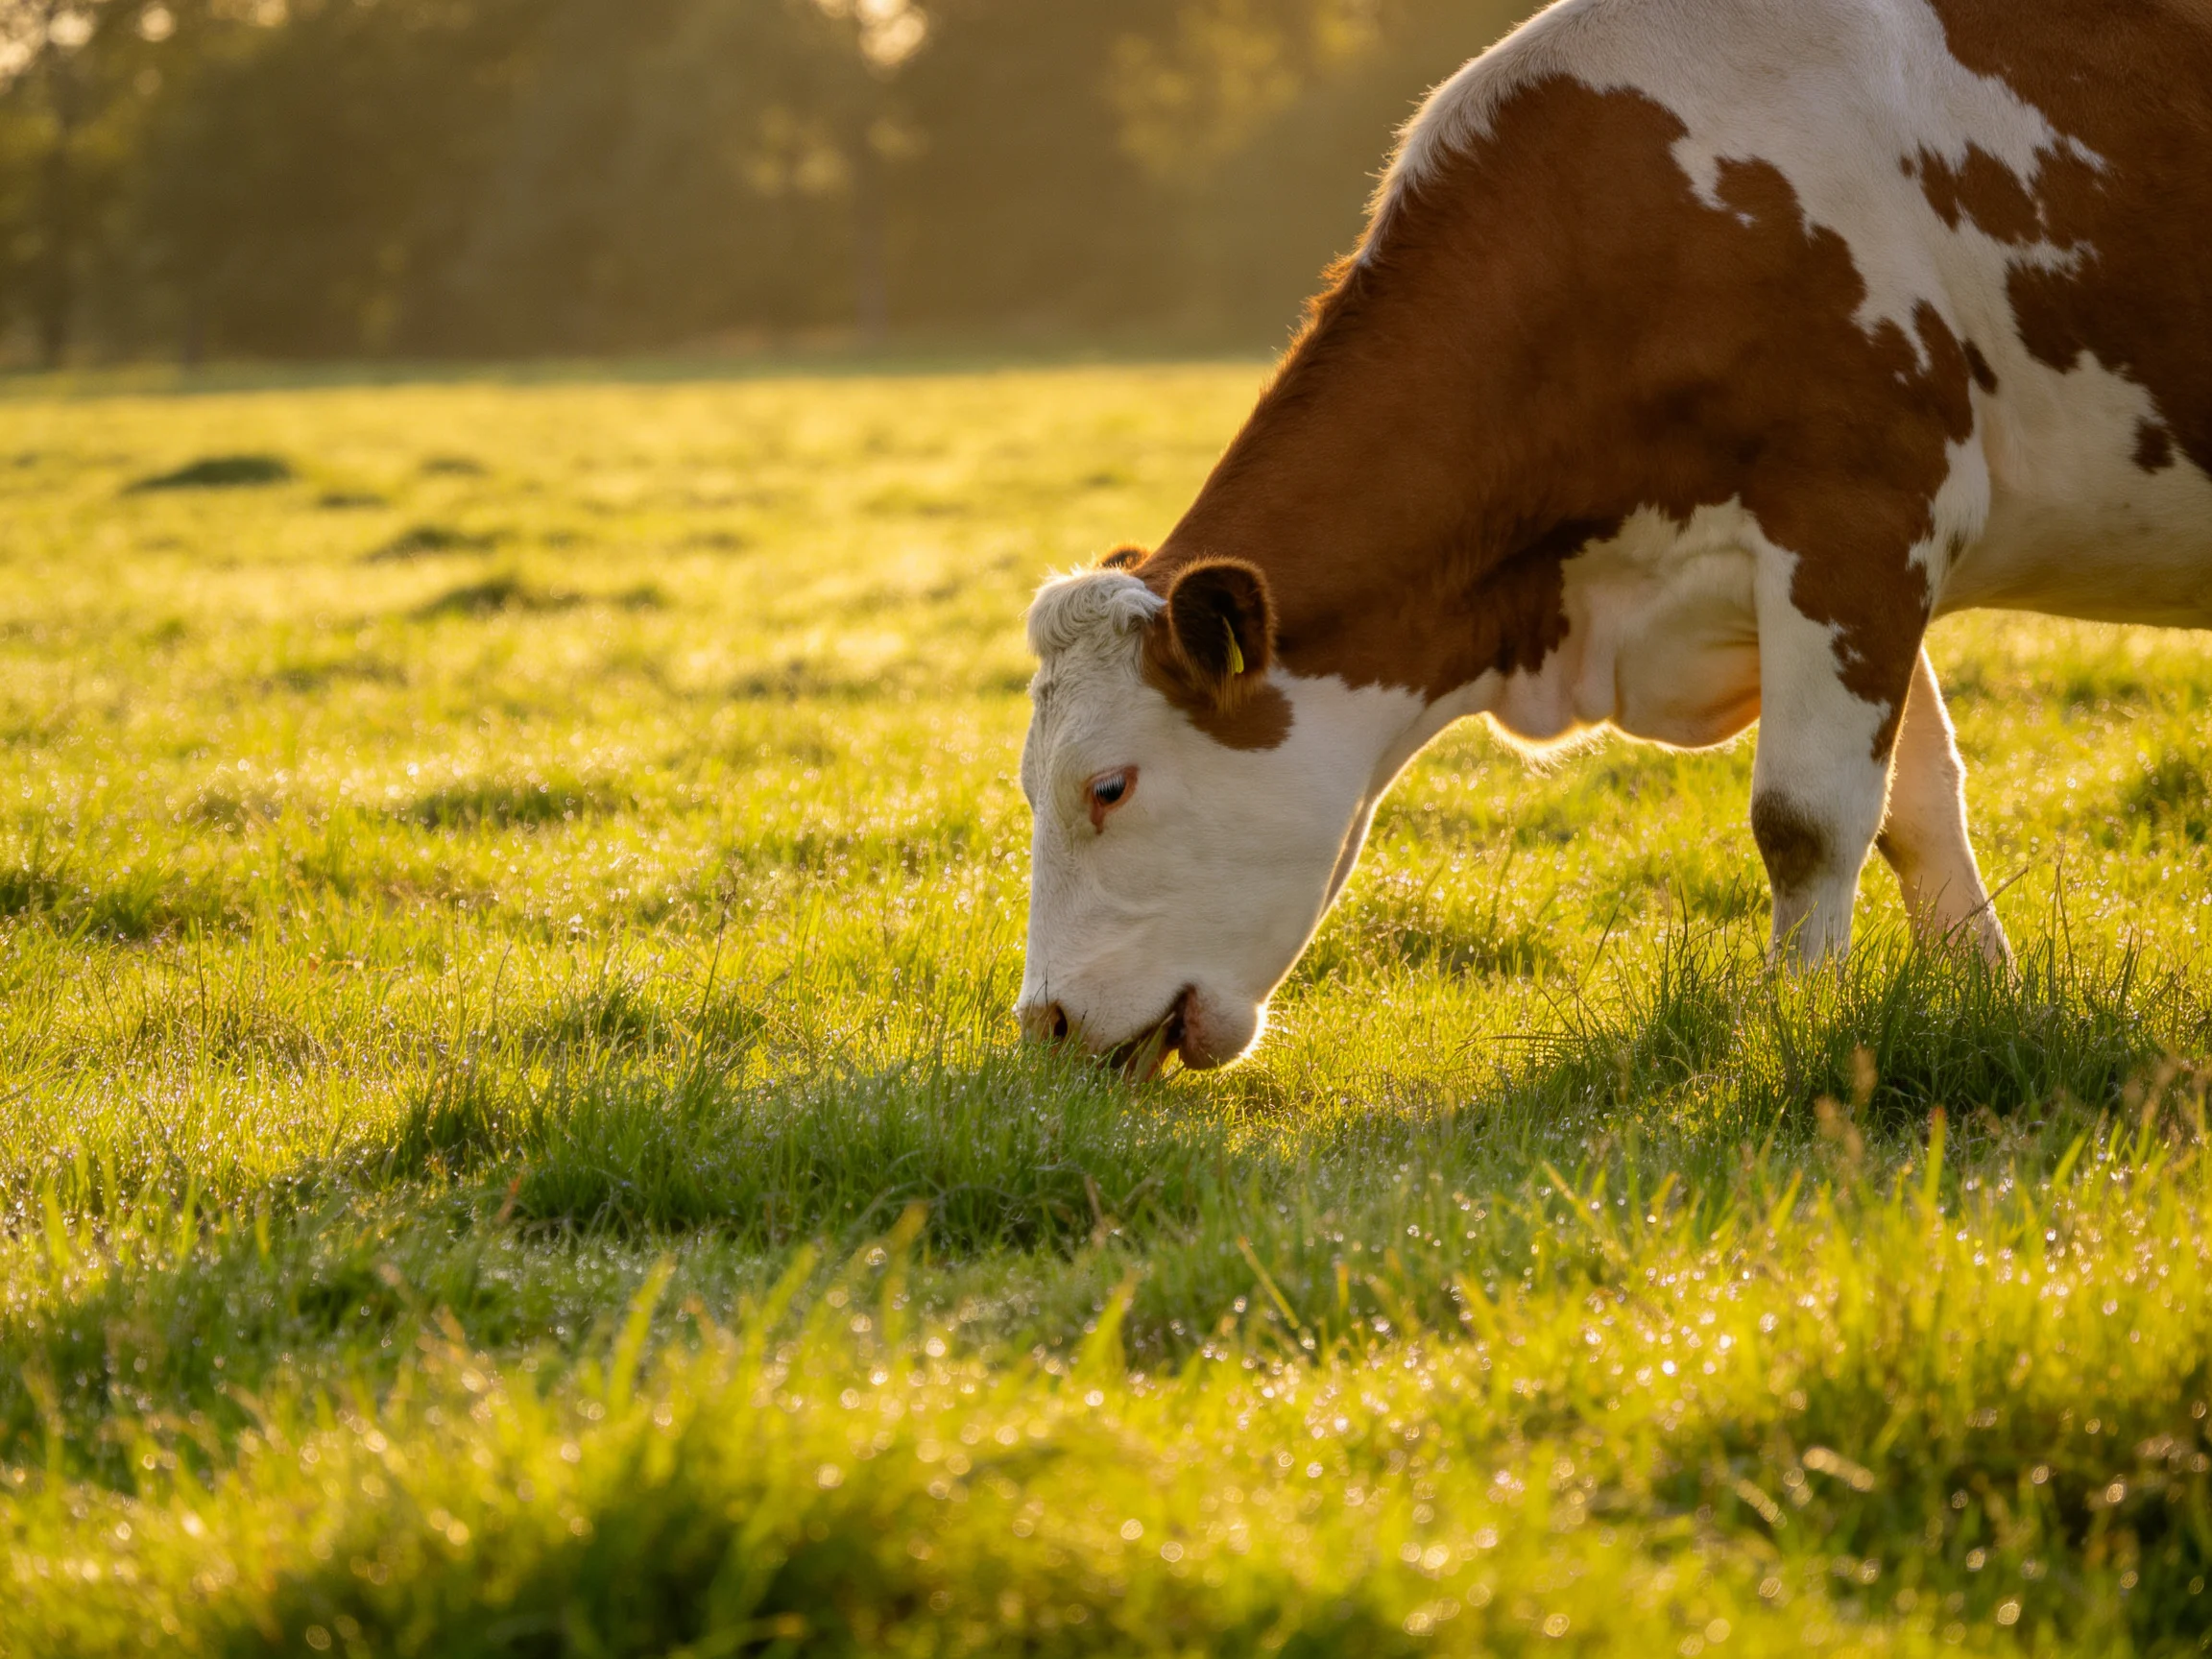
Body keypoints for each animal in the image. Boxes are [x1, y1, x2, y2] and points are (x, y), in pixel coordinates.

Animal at [1016, 0, 2212, 1078]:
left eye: (1107, 787)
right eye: (1030, 785)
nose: (1045, 1022)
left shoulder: (1860, 510)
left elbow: (1808, 816)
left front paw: (1799, 1026)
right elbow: (1915, 805)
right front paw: (1984, 995)